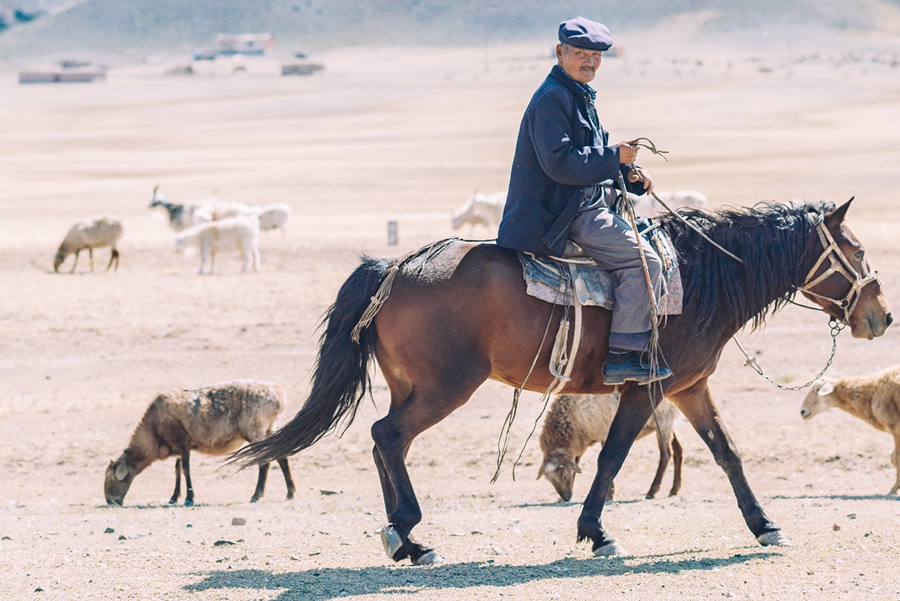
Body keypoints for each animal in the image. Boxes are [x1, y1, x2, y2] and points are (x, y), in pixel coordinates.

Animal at [233, 199, 890, 565]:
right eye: (855, 249)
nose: (882, 316)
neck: (698, 279)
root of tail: (397, 265)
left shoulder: (688, 388)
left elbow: (727, 453)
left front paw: (765, 526)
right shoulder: (646, 389)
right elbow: (613, 457)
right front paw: (596, 533)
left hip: (411, 386)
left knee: (382, 441)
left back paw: (402, 536)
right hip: (446, 388)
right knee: (388, 438)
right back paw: (410, 538)